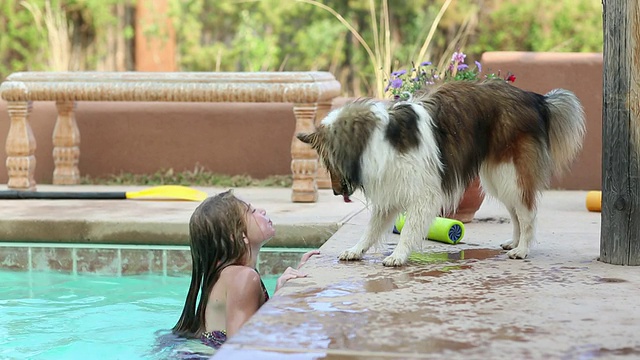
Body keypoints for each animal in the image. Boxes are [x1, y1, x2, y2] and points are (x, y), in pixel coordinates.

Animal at [296, 80, 584, 266]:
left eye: (327, 163)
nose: (335, 192)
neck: (374, 139)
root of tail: (536, 99)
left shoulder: (422, 193)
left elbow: (409, 228)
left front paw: (398, 256)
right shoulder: (391, 188)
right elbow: (371, 229)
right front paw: (356, 250)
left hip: (510, 173)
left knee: (527, 213)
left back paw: (522, 250)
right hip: (497, 177)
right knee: (516, 212)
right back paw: (513, 243)